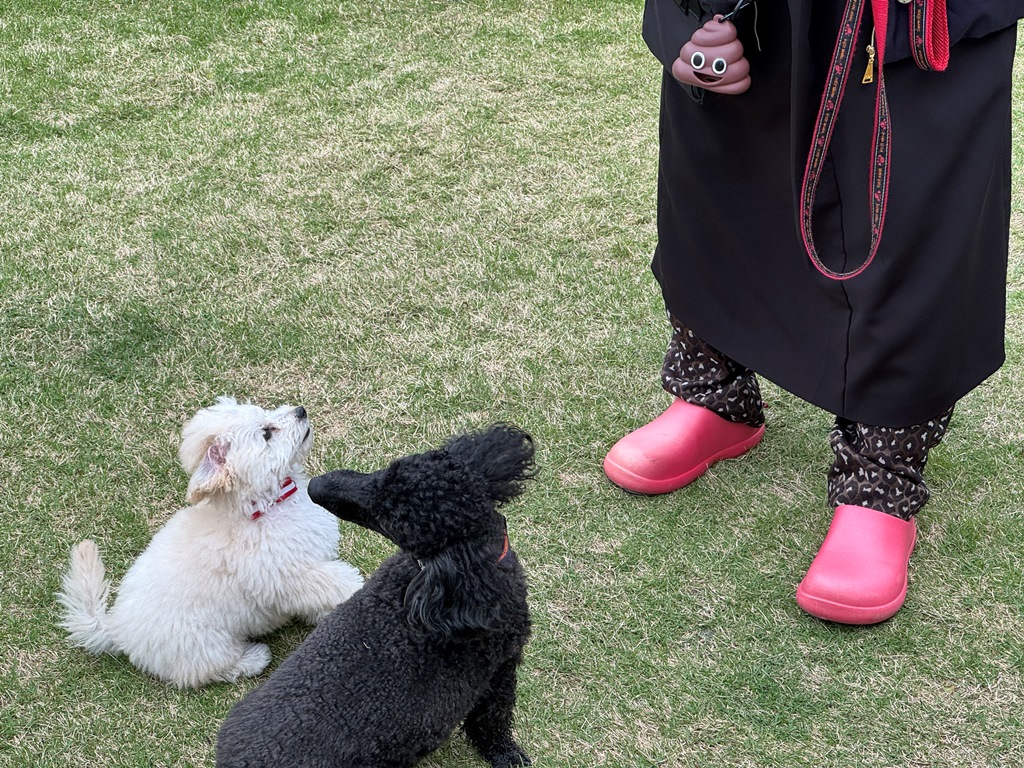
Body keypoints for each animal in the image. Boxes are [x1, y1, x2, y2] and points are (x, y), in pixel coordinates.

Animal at [58, 399, 366, 688]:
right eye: (266, 433)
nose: (300, 410)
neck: (262, 505)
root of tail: (116, 628)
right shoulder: (291, 575)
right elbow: (335, 584)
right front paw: (359, 591)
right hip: (204, 644)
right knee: (207, 671)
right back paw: (252, 659)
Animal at [216, 423, 536, 765]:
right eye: (386, 471)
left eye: (390, 519)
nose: (316, 486)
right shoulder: (500, 671)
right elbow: (491, 720)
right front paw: (505, 754)